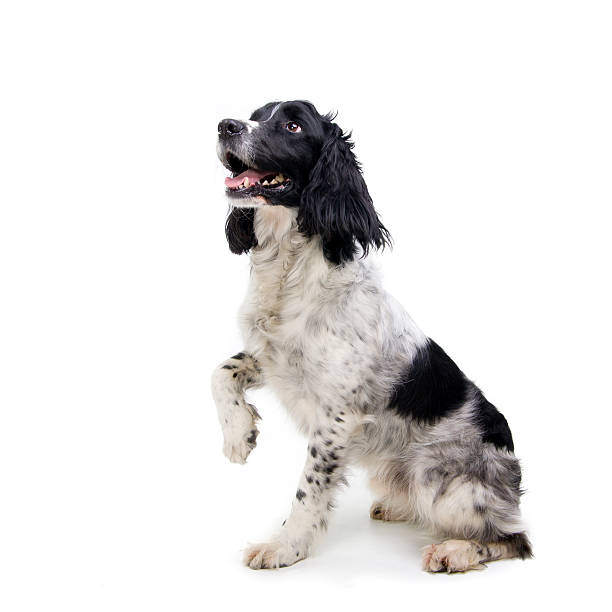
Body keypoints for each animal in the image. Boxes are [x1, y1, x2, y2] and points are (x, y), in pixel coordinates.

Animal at [210, 101, 532, 572]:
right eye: (257, 113)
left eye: (292, 125)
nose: (225, 125)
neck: (290, 269)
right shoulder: (273, 357)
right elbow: (220, 372)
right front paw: (239, 435)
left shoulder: (336, 417)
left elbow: (308, 490)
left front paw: (285, 546)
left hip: (438, 477)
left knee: (513, 539)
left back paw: (454, 550)